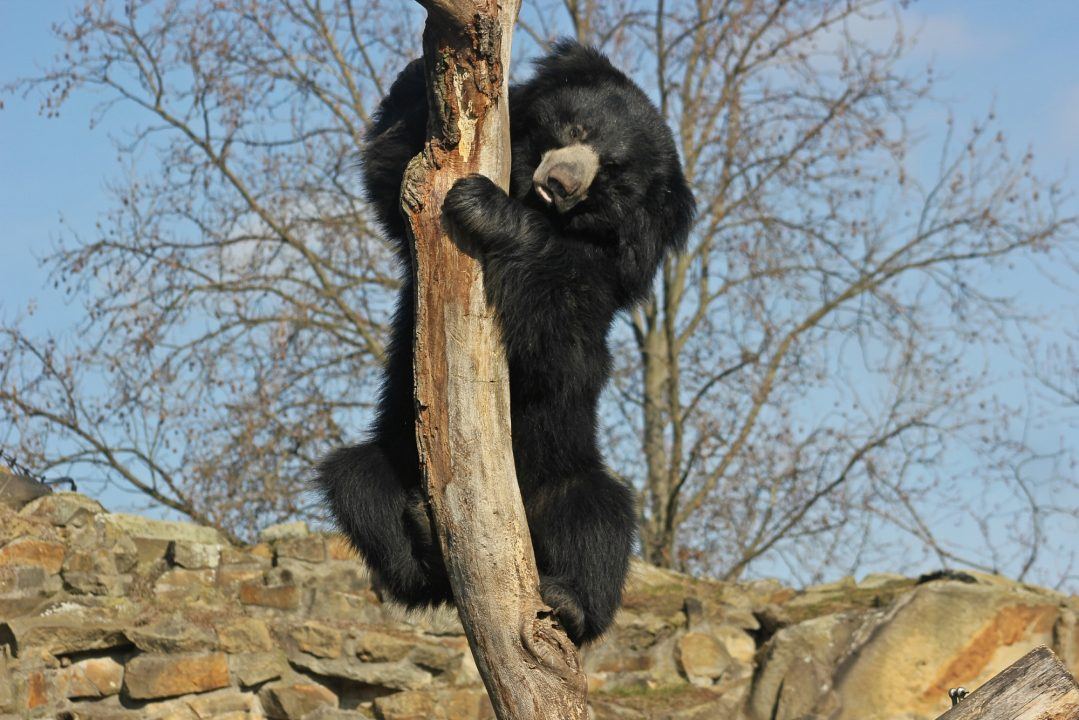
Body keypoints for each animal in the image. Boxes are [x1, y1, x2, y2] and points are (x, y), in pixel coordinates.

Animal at [316, 41, 695, 645]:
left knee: (600, 517)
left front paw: (484, 205)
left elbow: (560, 343)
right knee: (360, 490)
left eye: (612, 174)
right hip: (392, 456)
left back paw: (569, 602)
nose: (560, 182)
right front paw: (421, 73)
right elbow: (393, 171)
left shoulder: (607, 277)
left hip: (564, 473)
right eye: (576, 126)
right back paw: (423, 538)